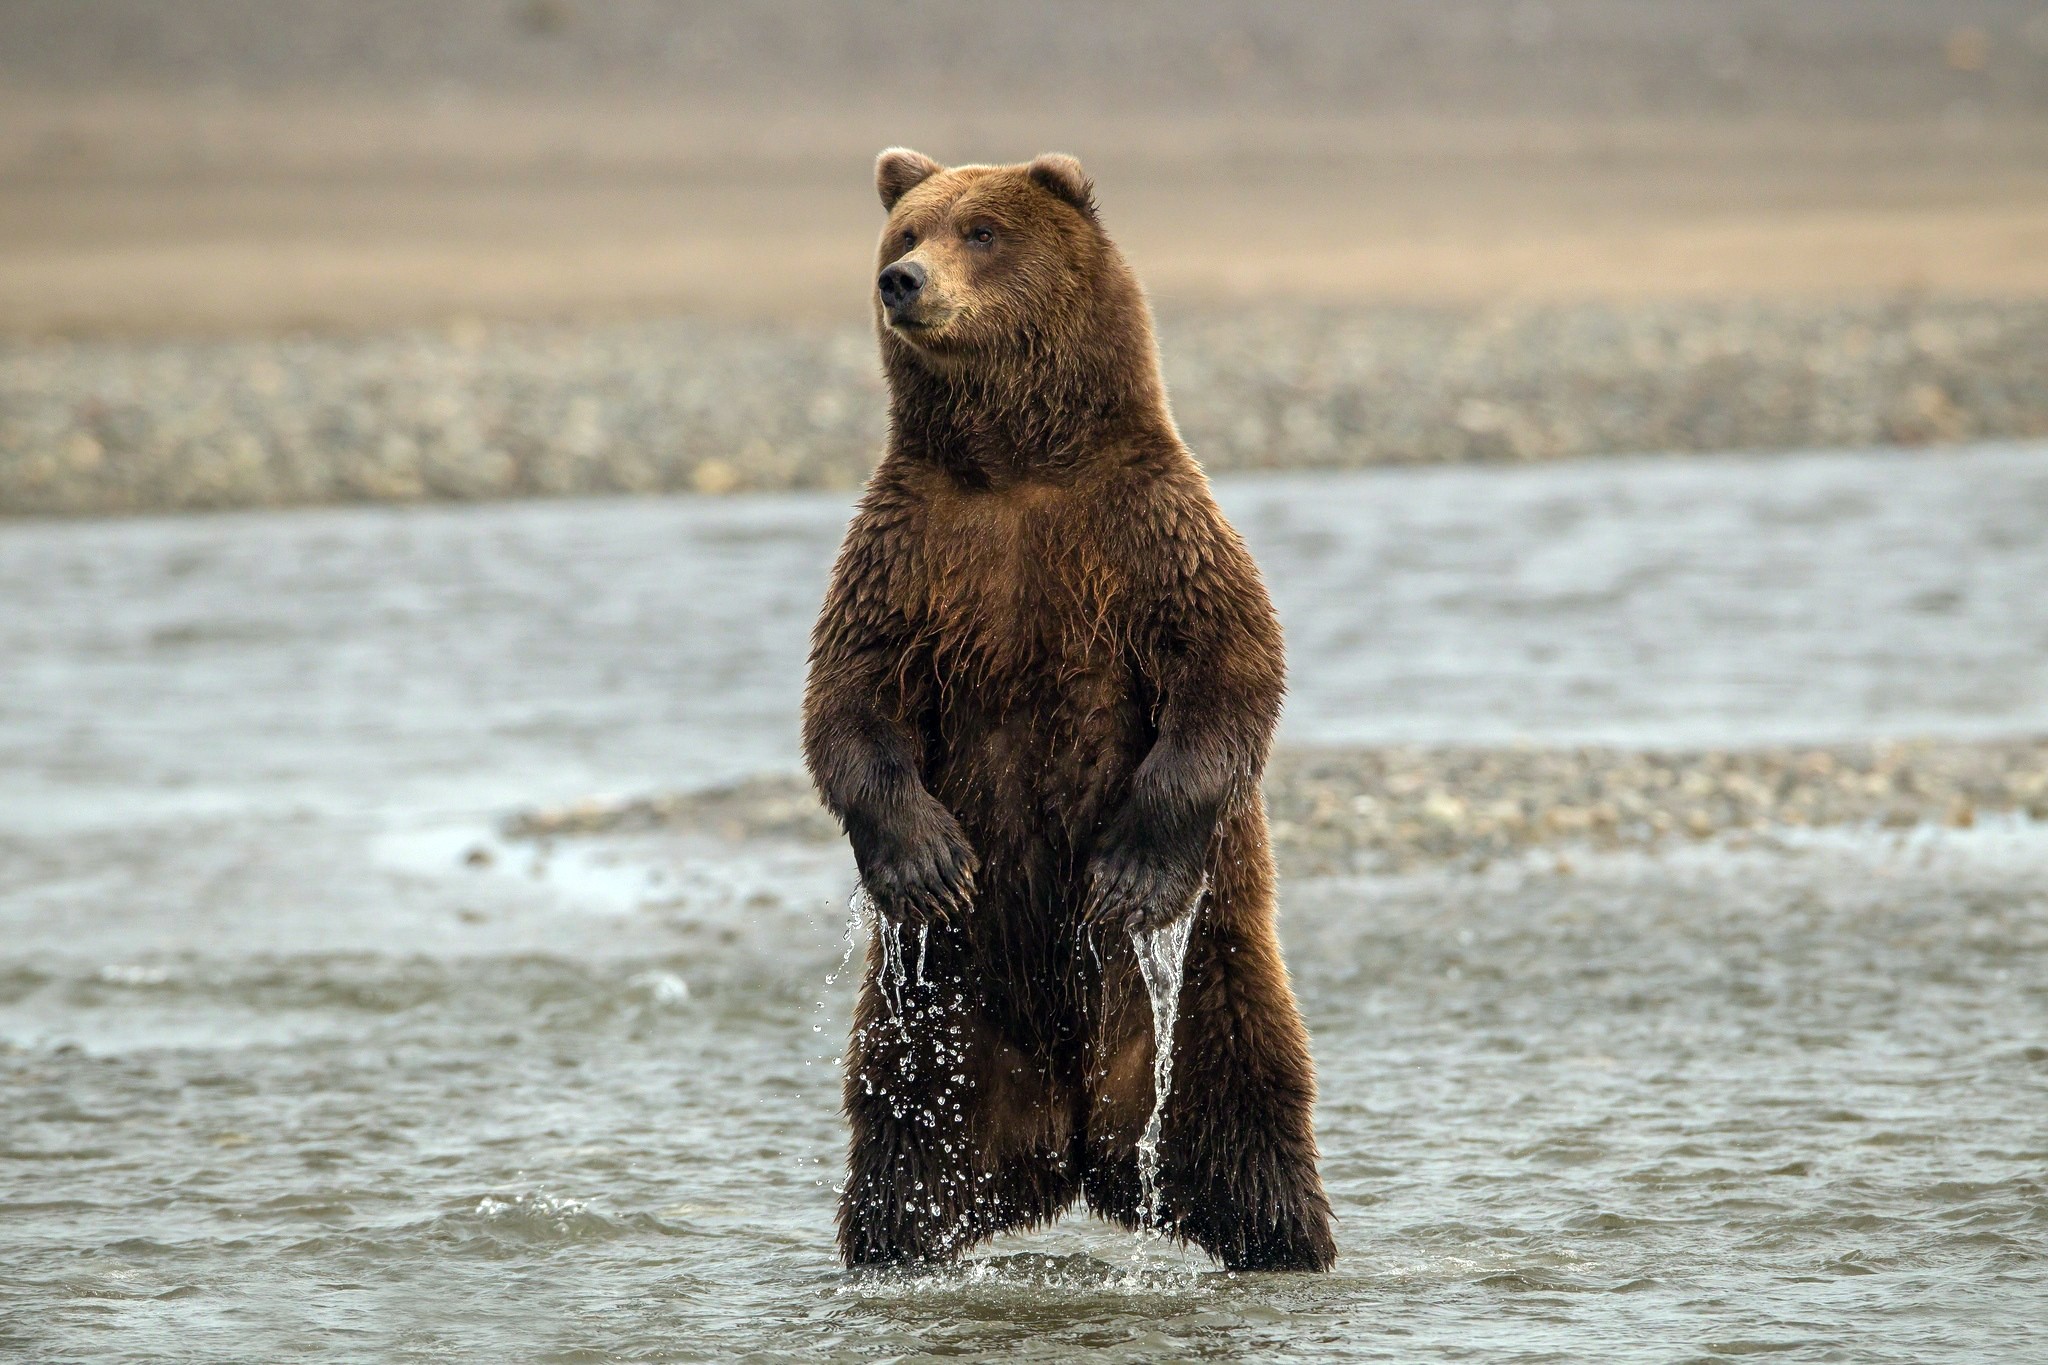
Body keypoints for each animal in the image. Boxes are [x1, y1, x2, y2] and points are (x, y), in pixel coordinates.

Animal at [801, 147, 1335, 1273]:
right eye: (905, 230)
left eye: (981, 231)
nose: (902, 282)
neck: (1015, 466)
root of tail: (1076, 1144)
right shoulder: (908, 553)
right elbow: (850, 701)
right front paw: (927, 862)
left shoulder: (1149, 532)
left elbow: (1229, 670)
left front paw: (1129, 874)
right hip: (937, 1017)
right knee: (900, 1143)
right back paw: (892, 1249)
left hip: (1211, 979)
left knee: (1247, 1117)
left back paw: (1287, 1243)